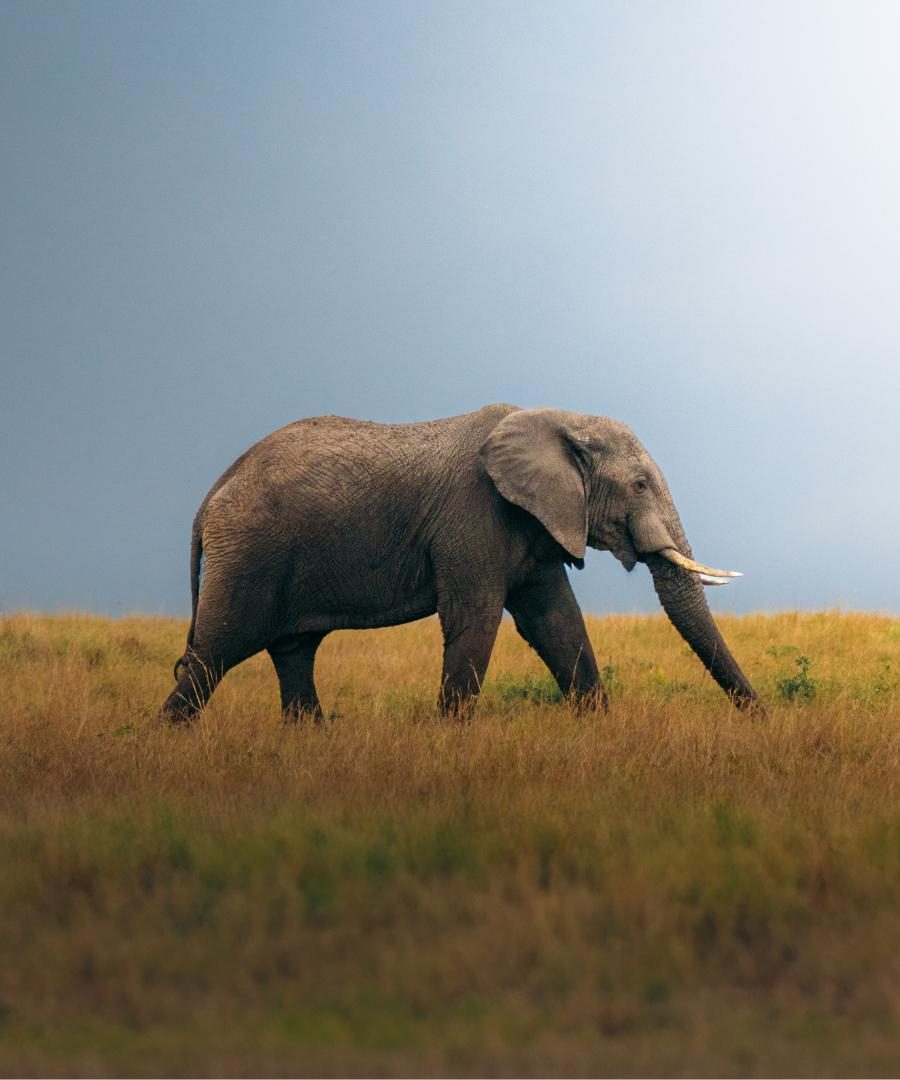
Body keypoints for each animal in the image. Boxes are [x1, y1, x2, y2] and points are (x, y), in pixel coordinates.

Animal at [161, 404, 760, 722]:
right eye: (639, 484)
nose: (760, 716)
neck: (558, 420)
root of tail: (209, 498)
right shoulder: (474, 518)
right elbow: (476, 619)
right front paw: (451, 738)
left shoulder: (536, 526)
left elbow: (558, 624)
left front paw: (601, 726)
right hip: (248, 553)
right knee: (214, 652)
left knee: (292, 653)